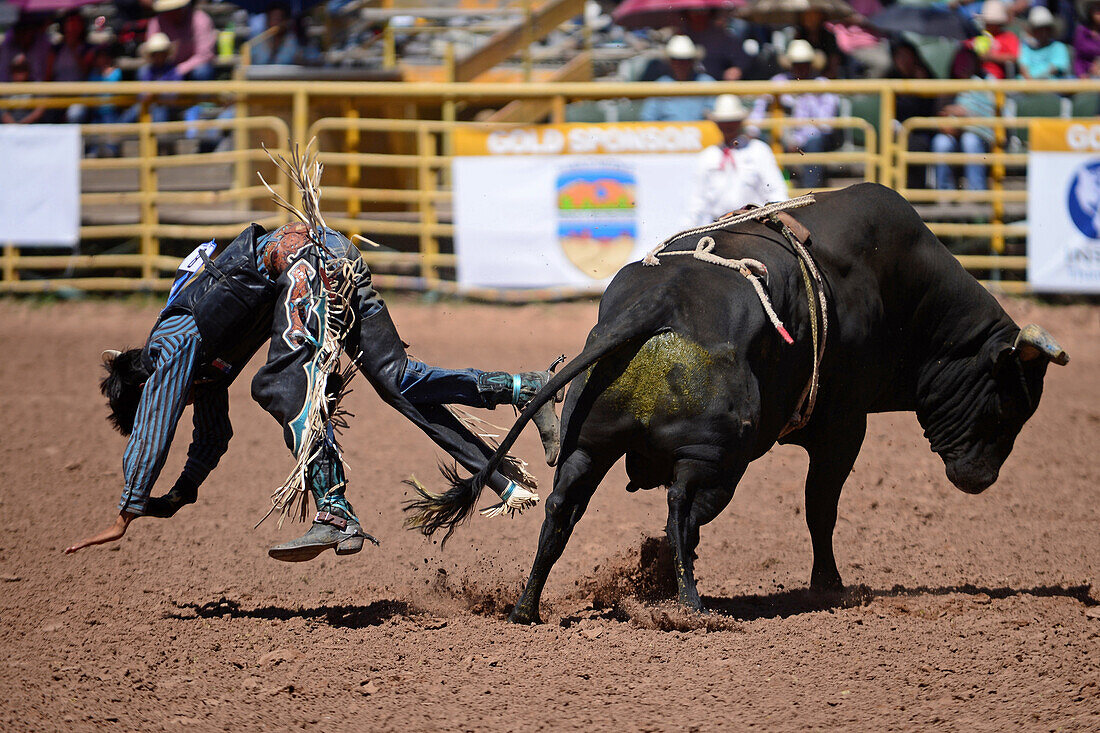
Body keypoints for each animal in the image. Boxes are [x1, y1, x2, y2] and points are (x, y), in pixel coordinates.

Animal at [404, 182, 1064, 620]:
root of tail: (657, 304)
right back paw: (690, 604)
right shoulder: (844, 428)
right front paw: (830, 585)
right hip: (716, 460)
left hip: (590, 446)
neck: (903, 289)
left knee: (564, 511)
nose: (979, 479)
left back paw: (528, 606)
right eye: (1009, 407)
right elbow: (820, 508)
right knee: (681, 512)